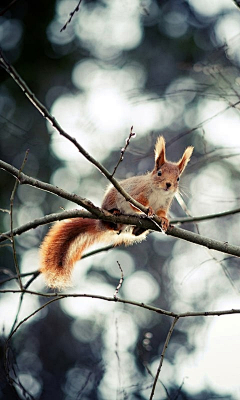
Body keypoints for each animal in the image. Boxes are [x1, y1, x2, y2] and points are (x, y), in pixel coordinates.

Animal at [39, 136, 193, 290]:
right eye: (159, 173)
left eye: (178, 178)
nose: (168, 184)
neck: (159, 192)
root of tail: (102, 223)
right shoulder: (136, 193)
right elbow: (137, 204)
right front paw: (148, 209)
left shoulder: (164, 204)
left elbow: (161, 213)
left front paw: (165, 221)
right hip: (111, 201)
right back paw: (115, 212)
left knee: (133, 233)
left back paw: (139, 229)